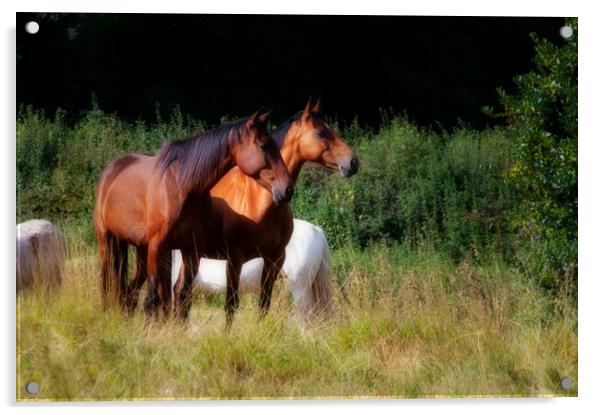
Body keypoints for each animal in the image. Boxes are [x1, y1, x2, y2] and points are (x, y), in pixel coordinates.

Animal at [93, 112, 290, 320]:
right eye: (263, 145)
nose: (287, 189)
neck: (183, 187)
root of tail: (111, 169)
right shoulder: (158, 246)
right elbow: (152, 301)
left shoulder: (191, 250)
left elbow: (182, 295)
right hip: (107, 239)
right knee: (107, 280)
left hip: (140, 247)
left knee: (131, 290)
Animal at [136, 101, 356, 324]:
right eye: (321, 132)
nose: (352, 162)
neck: (258, 200)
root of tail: (318, 232)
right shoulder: (235, 259)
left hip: (299, 288)